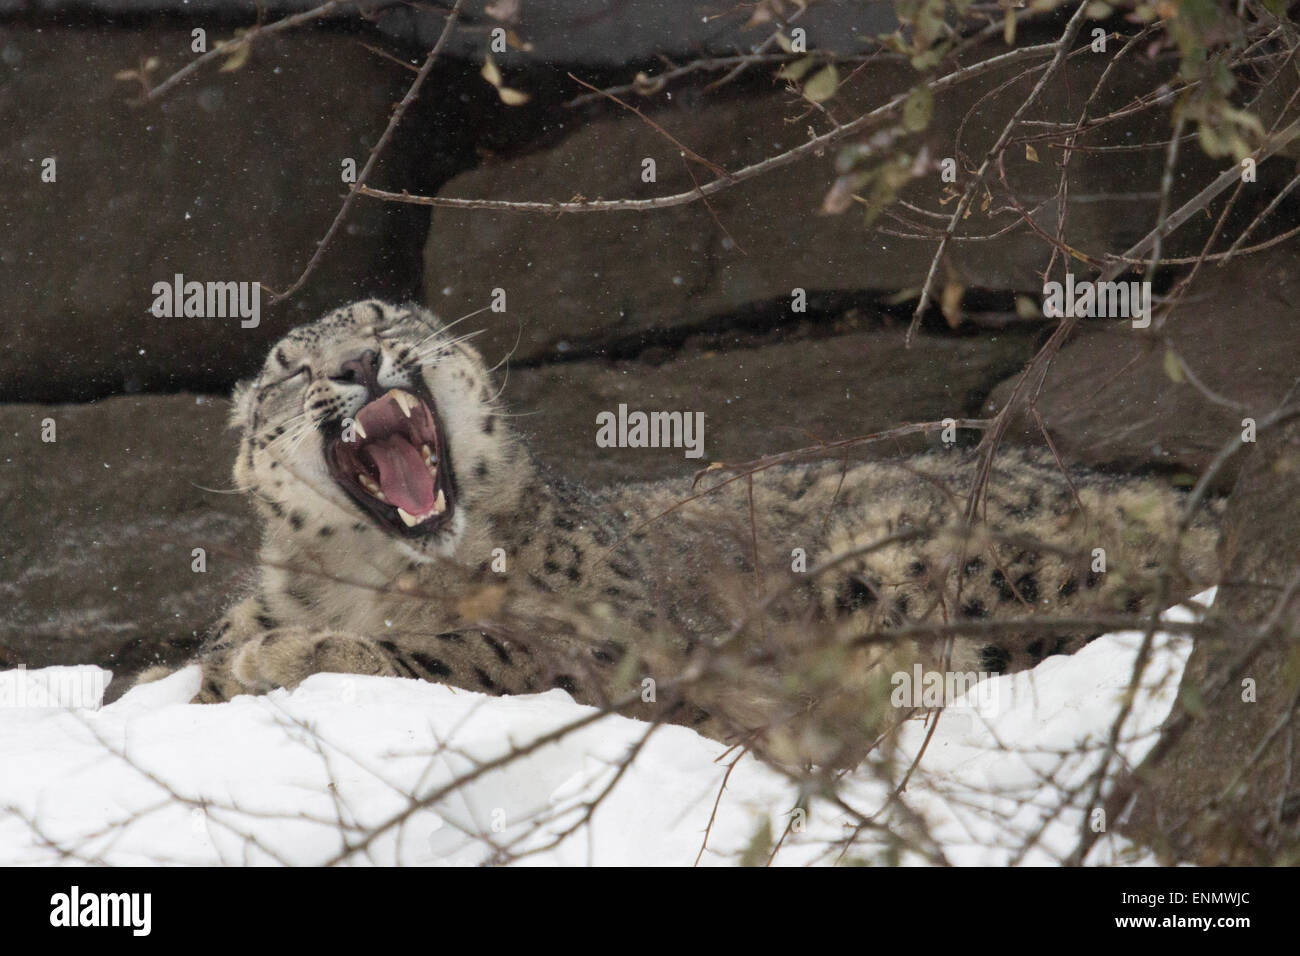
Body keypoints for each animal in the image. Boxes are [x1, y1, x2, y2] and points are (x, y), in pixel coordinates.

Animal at [139, 299, 1216, 764]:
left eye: (381, 319)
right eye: (290, 367)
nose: (360, 362)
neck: (375, 575)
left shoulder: (604, 644)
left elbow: (462, 651)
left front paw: (279, 658)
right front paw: (220, 668)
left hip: (901, 548)